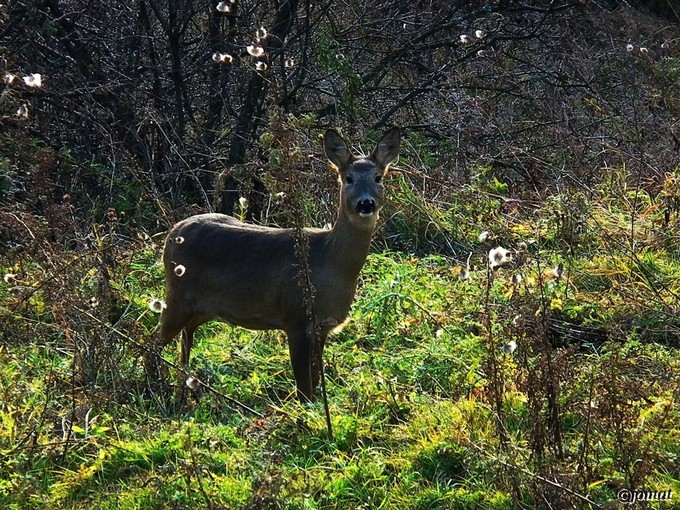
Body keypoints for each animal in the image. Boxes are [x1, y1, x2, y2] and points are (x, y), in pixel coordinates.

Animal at [160, 125, 402, 400]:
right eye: (348, 178)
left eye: (378, 178)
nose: (366, 203)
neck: (329, 264)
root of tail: (172, 234)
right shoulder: (295, 318)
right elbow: (304, 388)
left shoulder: (322, 327)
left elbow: (315, 381)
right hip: (177, 296)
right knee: (152, 342)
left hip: (202, 308)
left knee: (184, 337)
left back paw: (183, 389)